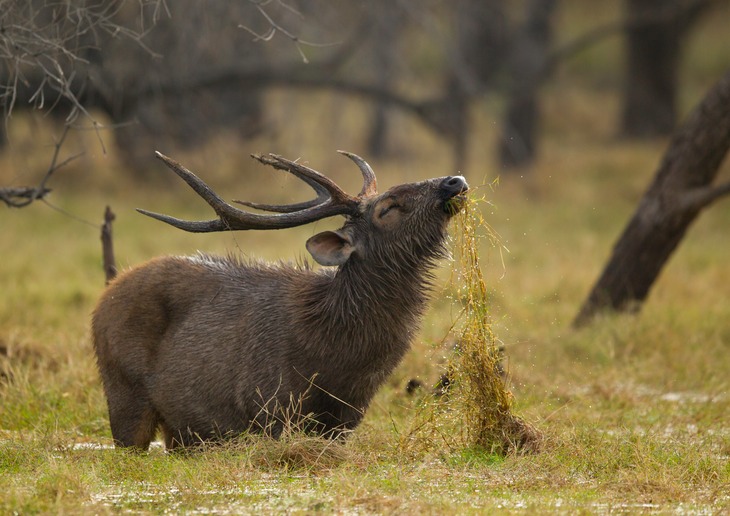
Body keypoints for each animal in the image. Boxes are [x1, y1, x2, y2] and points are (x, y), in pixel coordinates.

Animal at [92, 149, 466, 448]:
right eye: (388, 207)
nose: (454, 180)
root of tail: (109, 286)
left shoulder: (348, 416)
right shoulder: (268, 405)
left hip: (180, 431)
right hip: (123, 391)